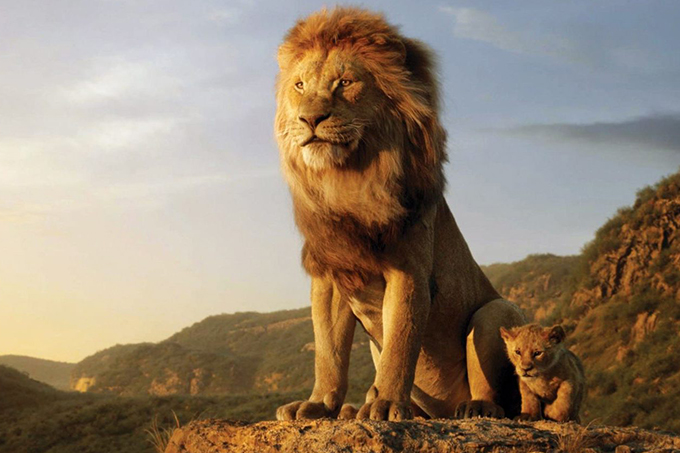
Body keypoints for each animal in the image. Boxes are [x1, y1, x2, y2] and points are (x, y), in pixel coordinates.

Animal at [274, 7, 526, 421]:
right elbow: (328, 352)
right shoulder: (330, 275)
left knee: (498, 397)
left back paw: (475, 407)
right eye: (299, 86)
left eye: (345, 82)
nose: (310, 119)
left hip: (495, 311)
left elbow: (400, 343)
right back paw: (353, 409)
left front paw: (388, 403)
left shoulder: (409, 271)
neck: (348, 181)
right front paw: (319, 404)